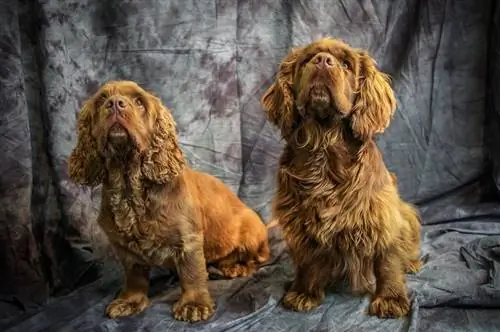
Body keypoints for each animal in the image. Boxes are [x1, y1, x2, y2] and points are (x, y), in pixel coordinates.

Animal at [67, 80, 270, 322]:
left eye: (139, 102)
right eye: (101, 101)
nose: (115, 104)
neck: (130, 186)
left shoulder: (188, 240)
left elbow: (192, 273)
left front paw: (193, 304)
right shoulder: (125, 249)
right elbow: (134, 277)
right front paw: (129, 301)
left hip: (251, 230)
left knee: (258, 259)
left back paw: (235, 268)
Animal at [262, 37, 422, 318]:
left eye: (346, 64)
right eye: (307, 59)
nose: (323, 61)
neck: (325, 145)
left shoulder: (383, 217)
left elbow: (387, 261)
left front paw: (390, 298)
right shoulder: (301, 220)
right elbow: (309, 261)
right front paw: (304, 292)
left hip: (406, 213)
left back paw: (411, 262)